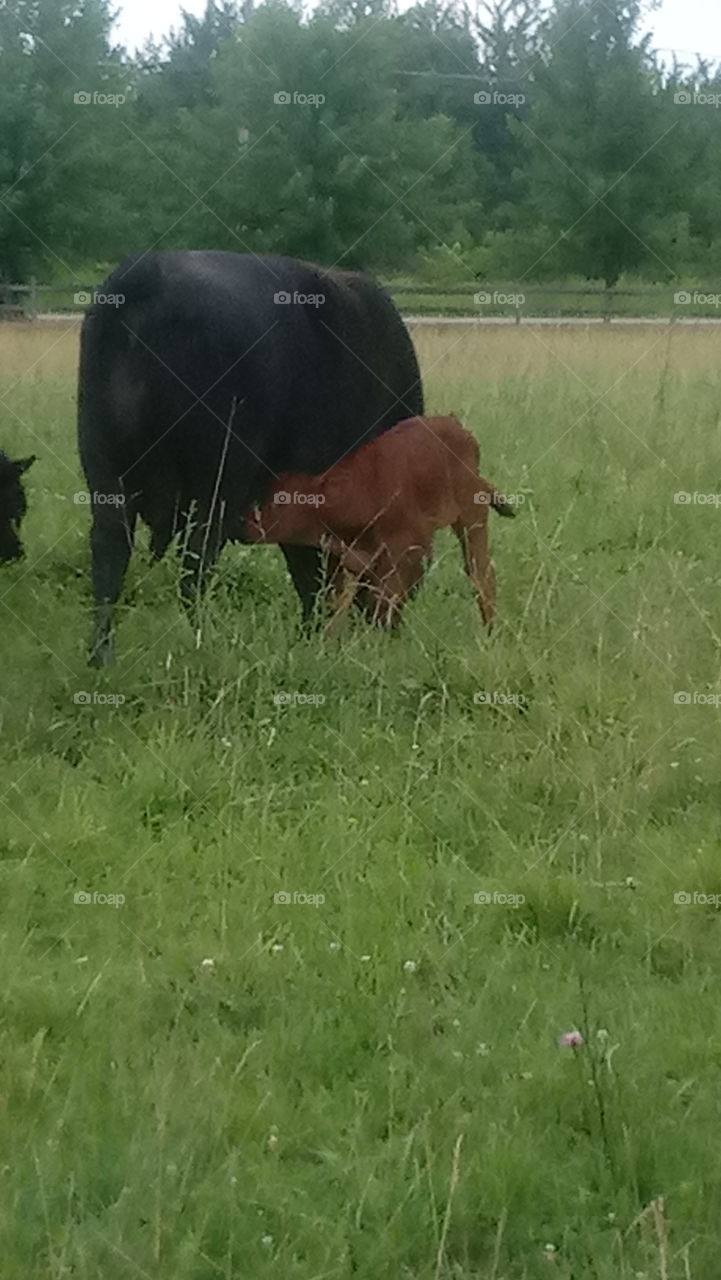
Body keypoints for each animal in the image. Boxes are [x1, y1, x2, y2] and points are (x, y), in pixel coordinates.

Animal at [77, 251, 423, 664]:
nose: (392, 629)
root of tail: (150, 277)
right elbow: (311, 578)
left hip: (106, 476)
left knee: (109, 558)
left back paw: (102, 656)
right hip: (216, 483)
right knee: (195, 566)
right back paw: (202, 642)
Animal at [243, 415, 515, 629]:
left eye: (279, 501)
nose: (248, 524)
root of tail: (454, 424)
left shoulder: (409, 549)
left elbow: (386, 600)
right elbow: (343, 599)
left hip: (472, 516)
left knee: (481, 573)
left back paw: (491, 632)